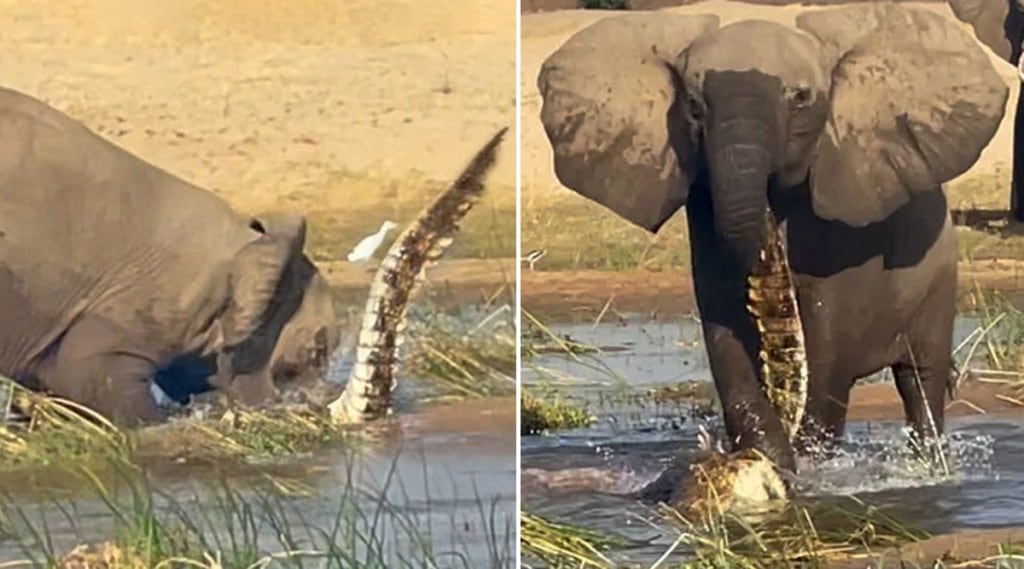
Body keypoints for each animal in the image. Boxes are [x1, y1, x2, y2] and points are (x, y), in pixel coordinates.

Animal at [536, 4, 1008, 479]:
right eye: (694, 106)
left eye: (801, 98)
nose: (768, 214)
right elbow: (724, 323)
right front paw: (772, 462)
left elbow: (828, 340)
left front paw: (807, 469)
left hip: (939, 276)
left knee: (920, 381)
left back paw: (930, 468)